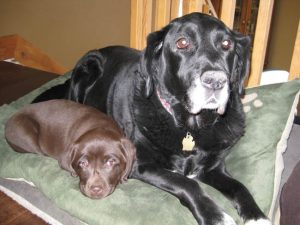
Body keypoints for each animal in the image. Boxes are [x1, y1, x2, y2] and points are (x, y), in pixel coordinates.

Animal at [33, 13, 272, 225]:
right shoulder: (139, 163)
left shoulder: (213, 167)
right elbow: (186, 183)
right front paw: (216, 216)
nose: (216, 81)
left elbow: (239, 187)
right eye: (182, 42)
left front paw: (257, 217)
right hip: (87, 67)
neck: (190, 126)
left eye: (226, 44)